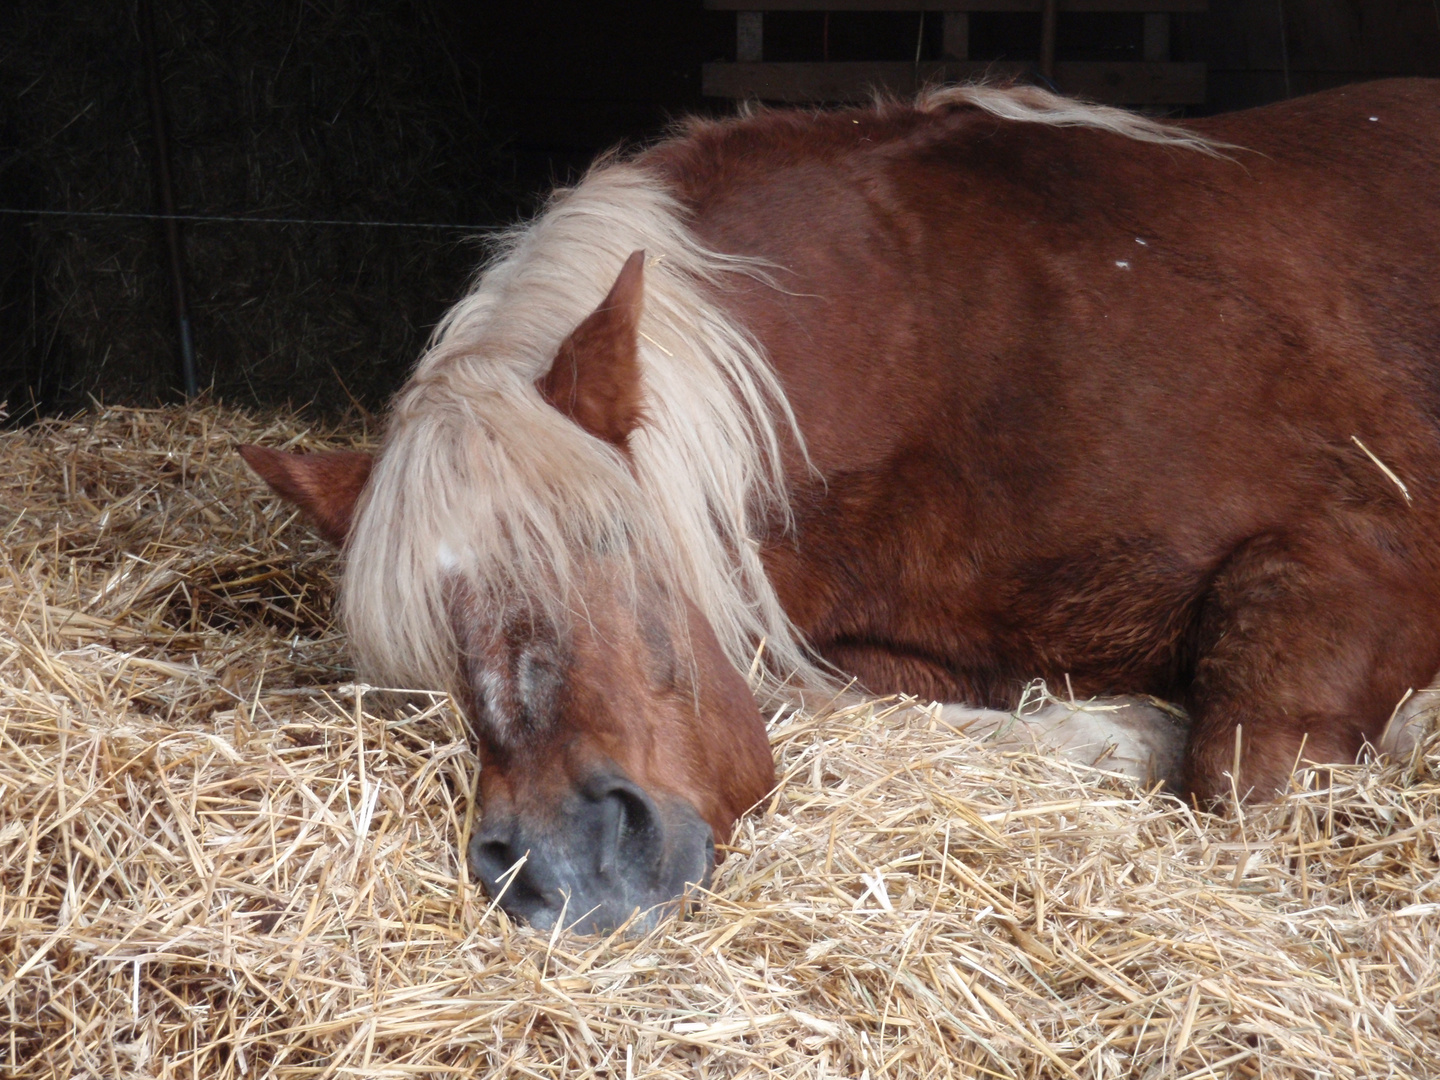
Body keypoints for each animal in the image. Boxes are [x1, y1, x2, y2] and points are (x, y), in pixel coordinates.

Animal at [241, 80, 1440, 933]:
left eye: (613, 537)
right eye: (428, 660)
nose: (568, 867)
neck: (950, 346)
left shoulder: (1353, 563)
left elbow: (1242, 772)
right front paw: (1112, 727)